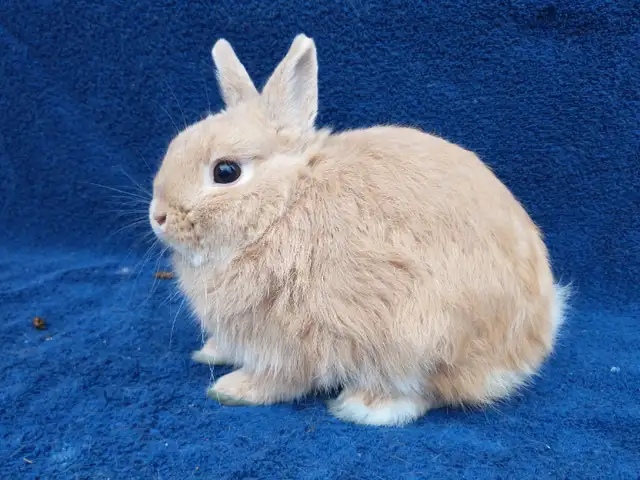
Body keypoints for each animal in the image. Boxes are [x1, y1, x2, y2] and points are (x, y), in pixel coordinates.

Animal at [148, 33, 568, 426]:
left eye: (226, 171)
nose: (159, 216)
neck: (281, 208)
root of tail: (532, 342)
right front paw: (212, 350)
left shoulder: (289, 337)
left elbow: (280, 378)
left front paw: (234, 389)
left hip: (420, 335)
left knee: (423, 392)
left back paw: (363, 406)